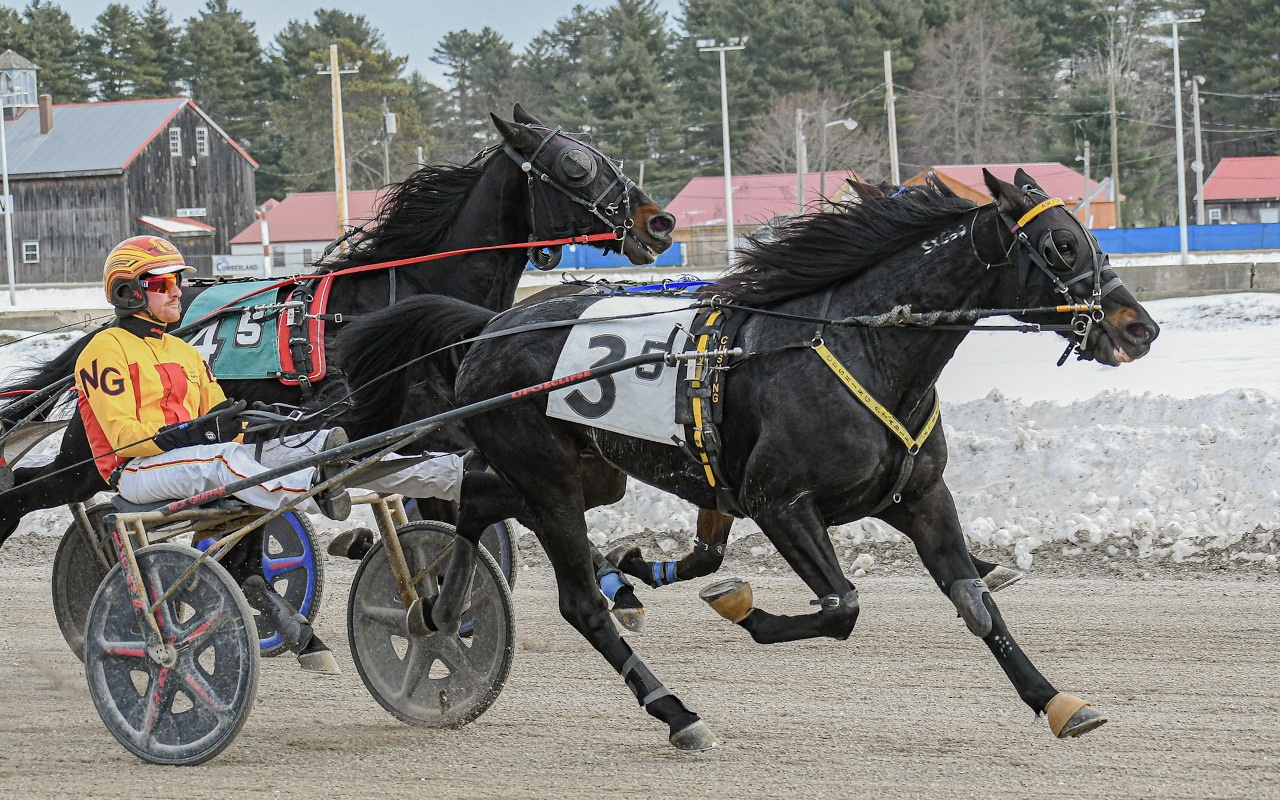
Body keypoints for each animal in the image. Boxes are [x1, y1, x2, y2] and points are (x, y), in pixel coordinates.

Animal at [0, 105, 675, 550]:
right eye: (576, 165)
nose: (659, 222)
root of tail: (96, 336)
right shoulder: (409, 425)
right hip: (103, 450)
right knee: (31, 486)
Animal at [333, 169, 1159, 749]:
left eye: (1095, 241)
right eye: (1060, 246)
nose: (1139, 326)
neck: (860, 344)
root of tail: (489, 326)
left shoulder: (922, 497)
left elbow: (975, 602)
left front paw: (1057, 701)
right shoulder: (779, 501)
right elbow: (842, 607)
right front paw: (742, 609)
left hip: (584, 474)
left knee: (473, 505)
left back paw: (437, 613)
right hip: (547, 478)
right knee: (579, 603)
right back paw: (674, 711)